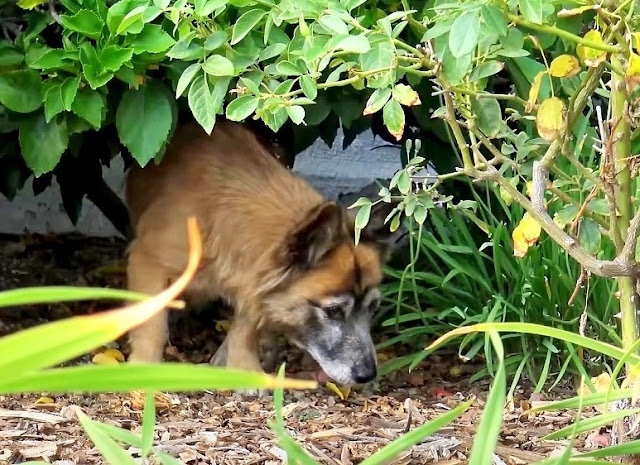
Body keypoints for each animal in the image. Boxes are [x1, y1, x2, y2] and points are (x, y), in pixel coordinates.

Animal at [123, 118, 398, 392]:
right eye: (333, 311)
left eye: (373, 307)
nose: (367, 375)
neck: (218, 219)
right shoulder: (148, 264)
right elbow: (152, 325)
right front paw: (143, 368)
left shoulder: (254, 281)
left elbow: (246, 328)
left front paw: (243, 367)